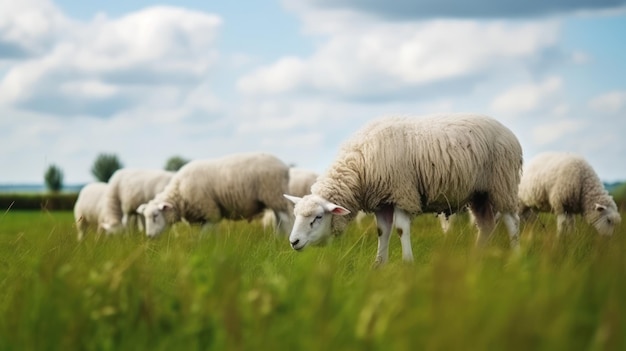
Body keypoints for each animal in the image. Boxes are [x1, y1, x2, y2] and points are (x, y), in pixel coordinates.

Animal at [136, 153, 292, 238]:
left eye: (155, 216)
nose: (149, 237)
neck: (180, 193)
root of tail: (284, 167)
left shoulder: (210, 211)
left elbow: (205, 235)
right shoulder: (204, 216)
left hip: (275, 194)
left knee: (287, 219)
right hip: (275, 199)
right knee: (279, 220)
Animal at [286, 114, 524, 266]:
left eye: (318, 217)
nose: (293, 242)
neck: (360, 166)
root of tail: (509, 132)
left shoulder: (402, 192)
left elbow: (401, 229)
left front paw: (407, 263)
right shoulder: (381, 200)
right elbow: (382, 231)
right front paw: (379, 265)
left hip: (502, 183)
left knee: (512, 221)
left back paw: (515, 258)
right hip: (479, 193)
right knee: (486, 225)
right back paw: (476, 258)